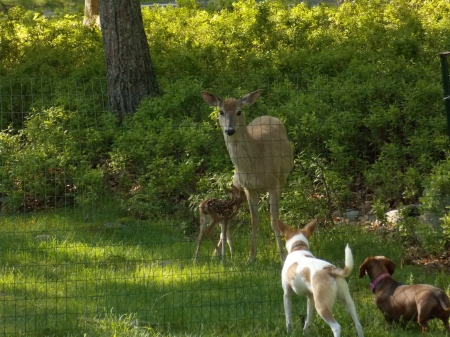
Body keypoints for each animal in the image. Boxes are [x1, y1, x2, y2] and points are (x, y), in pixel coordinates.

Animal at [201, 88, 294, 262]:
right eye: (221, 111)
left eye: (239, 111)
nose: (229, 130)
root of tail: (268, 116)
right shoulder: (249, 187)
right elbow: (254, 222)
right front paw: (251, 257)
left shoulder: (274, 184)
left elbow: (274, 222)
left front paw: (283, 257)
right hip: (237, 183)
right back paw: (216, 253)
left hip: (280, 180)